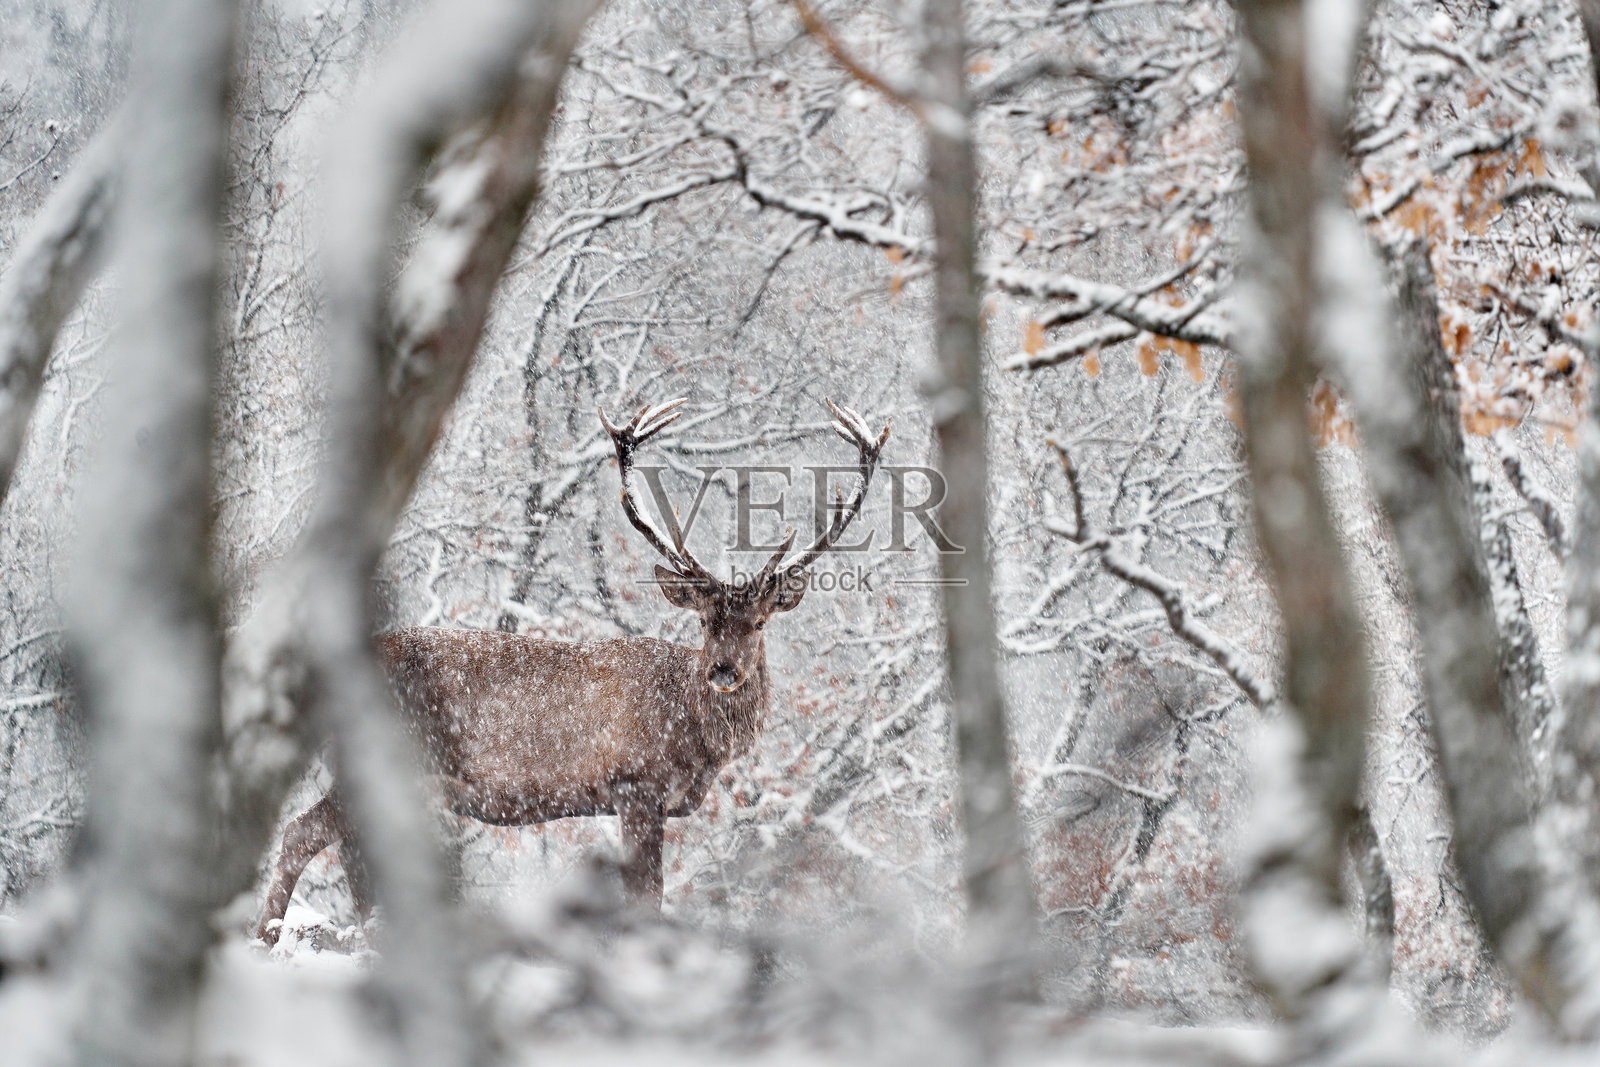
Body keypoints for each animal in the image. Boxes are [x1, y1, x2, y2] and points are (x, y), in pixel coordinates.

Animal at [256, 397, 891, 943]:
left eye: (758, 623)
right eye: (706, 620)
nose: (723, 670)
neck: (697, 738)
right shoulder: (636, 780)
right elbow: (647, 896)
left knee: (339, 846)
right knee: (305, 833)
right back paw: (270, 934)